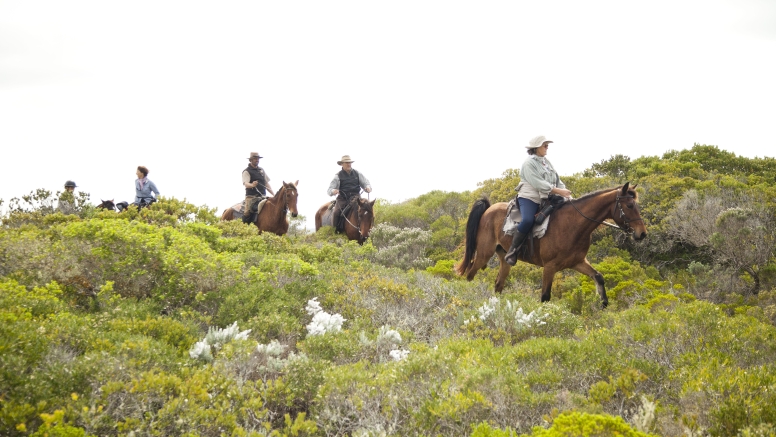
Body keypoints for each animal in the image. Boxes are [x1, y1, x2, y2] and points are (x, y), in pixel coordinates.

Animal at [454, 181, 648, 306]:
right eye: (630, 206)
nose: (642, 233)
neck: (573, 224)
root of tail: (488, 209)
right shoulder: (549, 267)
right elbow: (545, 296)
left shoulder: (577, 262)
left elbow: (599, 277)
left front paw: (604, 303)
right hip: (484, 254)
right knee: (470, 275)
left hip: (504, 259)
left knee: (498, 284)